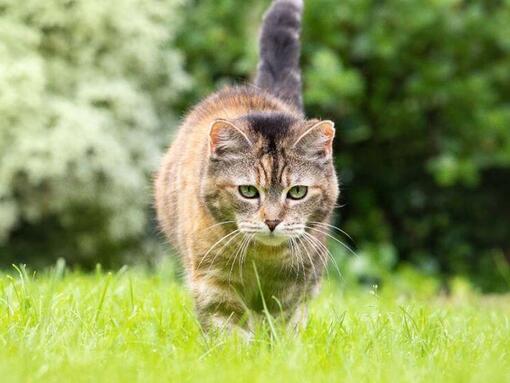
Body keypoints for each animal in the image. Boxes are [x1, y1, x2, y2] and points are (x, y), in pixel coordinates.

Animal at [155, 0, 338, 336]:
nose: (272, 221)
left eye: (298, 192)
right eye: (248, 191)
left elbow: (283, 325)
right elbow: (229, 330)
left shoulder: (294, 287)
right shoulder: (213, 282)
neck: (262, 257)